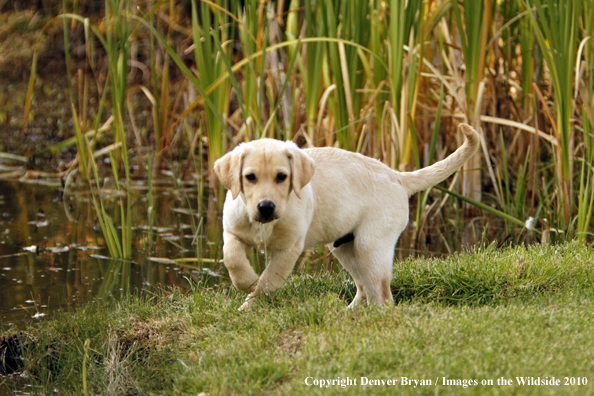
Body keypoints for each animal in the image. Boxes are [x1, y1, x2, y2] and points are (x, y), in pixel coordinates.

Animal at [215, 124, 478, 310]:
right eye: (250, 177)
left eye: (282, 177)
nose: (266, 207)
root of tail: (397, 176)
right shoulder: (232, 232)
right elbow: (232, 258)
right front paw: (246, 281)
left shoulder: (289, 249)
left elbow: (268, 280)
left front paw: (251, 300)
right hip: (344, 247)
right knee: (364, 288)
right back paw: (349, 313)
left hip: (370, 245)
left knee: (382, 294)